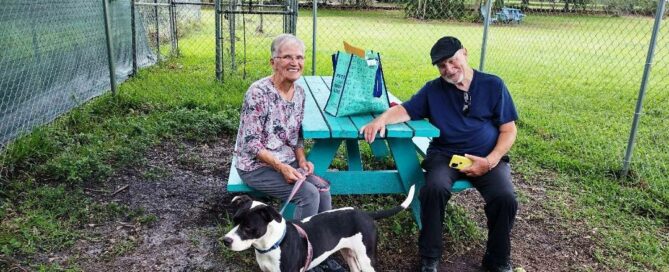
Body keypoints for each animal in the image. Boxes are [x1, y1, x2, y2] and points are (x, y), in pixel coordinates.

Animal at [222, 185, 414, 272]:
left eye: (248, 227)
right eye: (234, 220)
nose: (225, 241)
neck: (273, 244)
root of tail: (366, 214)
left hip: (367, 259)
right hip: (349, 253)